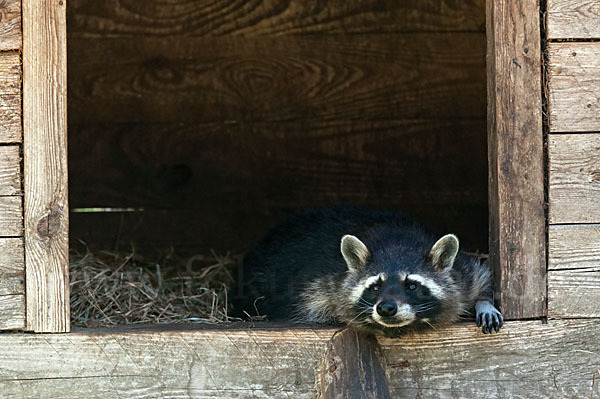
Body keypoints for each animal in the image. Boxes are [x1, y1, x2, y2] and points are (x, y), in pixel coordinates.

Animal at [232, 208, 504, 336]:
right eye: (375, 286)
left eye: (412, 285)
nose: (386, 308)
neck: (396, 242)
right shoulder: (321, 284)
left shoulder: (463, 273)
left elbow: (481, 278)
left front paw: (484, 302)